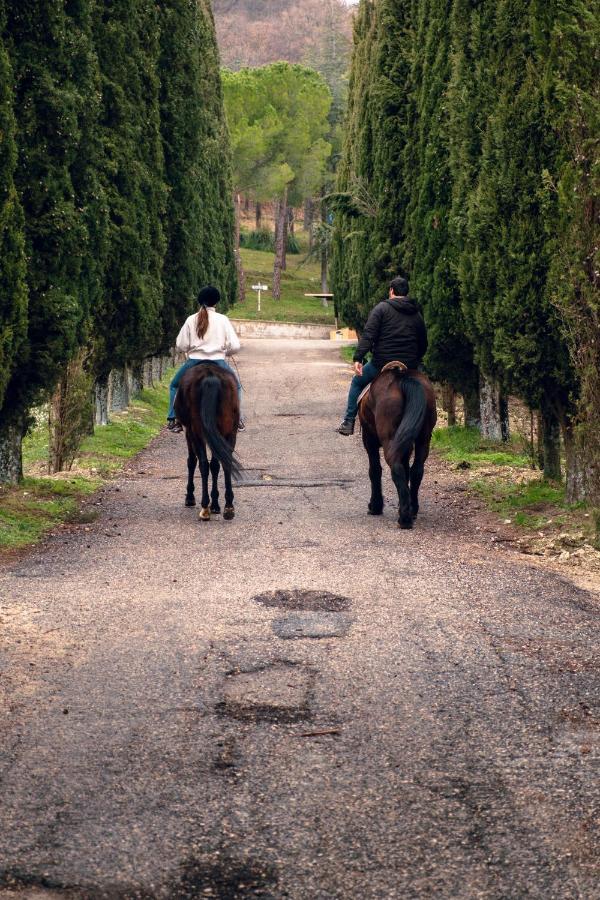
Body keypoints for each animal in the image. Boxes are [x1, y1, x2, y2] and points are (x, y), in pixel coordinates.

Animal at [172, 362, 240, 520]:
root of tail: (210, 377)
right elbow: (215, 465)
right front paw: (216, 505)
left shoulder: (189, 432)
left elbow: (192, 461)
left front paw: (190, 497)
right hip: (228, 431)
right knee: (223, 462)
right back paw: (228, 507)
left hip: (196, 431)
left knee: (202, 464)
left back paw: (204, 508)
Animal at [356, 368, 436, 528]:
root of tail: (403, 378)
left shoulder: (369, 440)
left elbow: (374, 470)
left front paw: (375, 506)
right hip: (423, 438)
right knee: (416, 470)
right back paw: (412, 509)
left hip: (389, 439)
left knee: (396, 468)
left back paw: (404, 519)